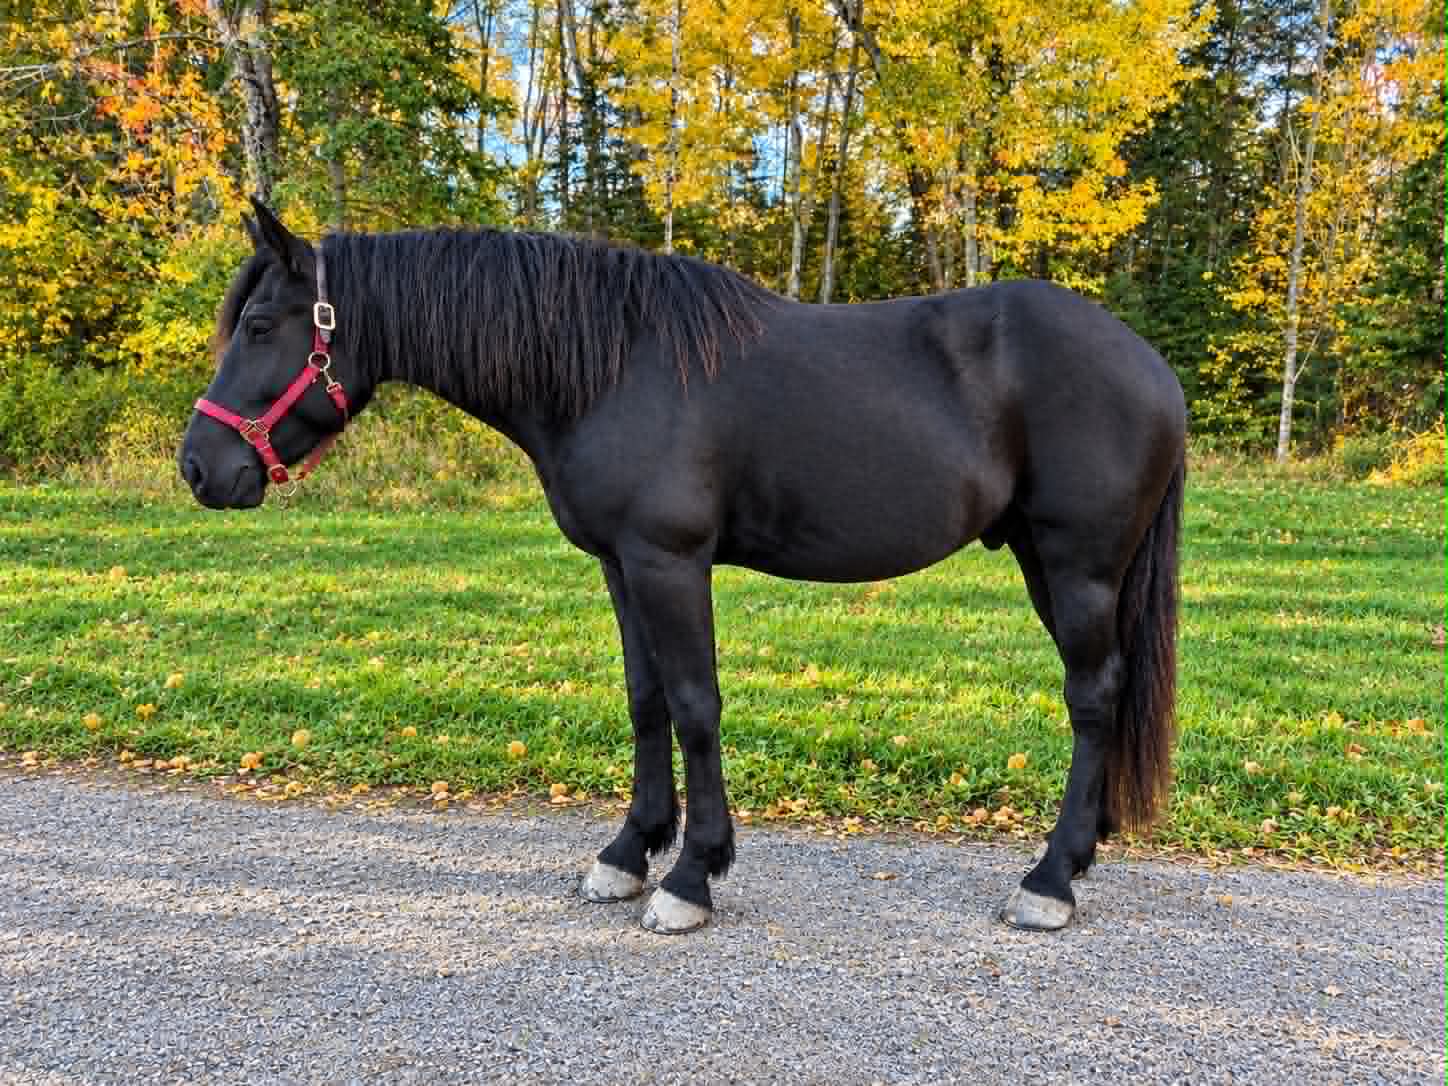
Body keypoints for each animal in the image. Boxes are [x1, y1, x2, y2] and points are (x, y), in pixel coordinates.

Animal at [179, 199, 1186, 935]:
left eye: (260, 324)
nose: (199, 468)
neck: (610, 367)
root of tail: (1152, 366)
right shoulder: (621, 566)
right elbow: (646, 699)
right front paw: (630, 854)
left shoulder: (670, 562)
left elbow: (697, 705)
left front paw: (692, 875)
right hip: (1043, 563)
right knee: (1103, 694)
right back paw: (1082, 851)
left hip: (1079, 566)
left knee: (1092, 697)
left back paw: (1049, 881)